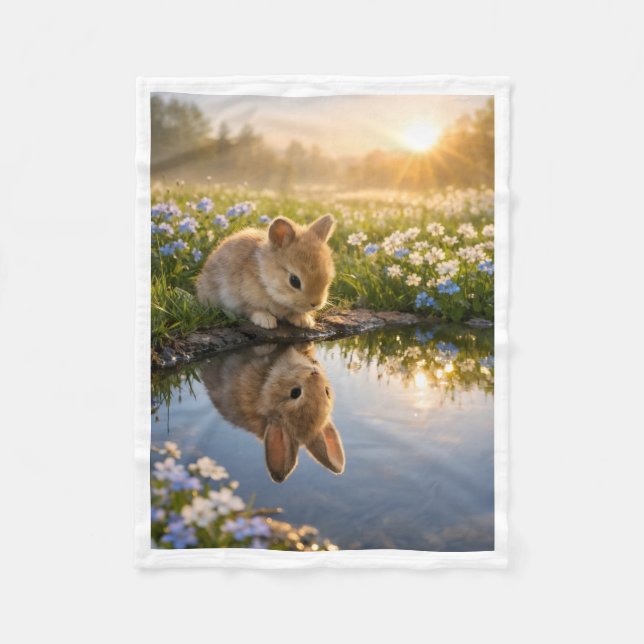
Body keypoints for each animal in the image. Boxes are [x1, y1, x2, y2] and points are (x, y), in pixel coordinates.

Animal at [196, 215, 335, 330]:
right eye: (294, 281)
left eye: (328, 278)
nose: (316, 304)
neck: (263, 274)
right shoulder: (238, 298)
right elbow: (252, 309)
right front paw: (266, 321)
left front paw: (304, 321)